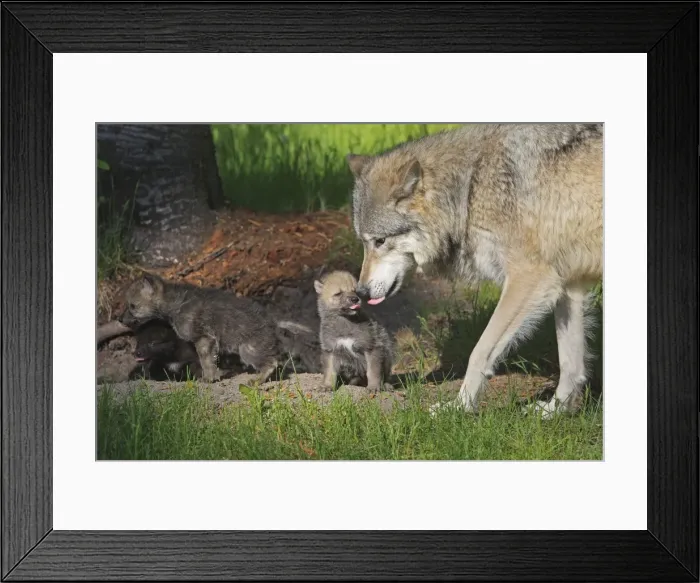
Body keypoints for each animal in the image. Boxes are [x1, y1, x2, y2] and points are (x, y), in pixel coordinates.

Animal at [119, 274, 281, 383]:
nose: (119, 319)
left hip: (248, 350)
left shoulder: (202, 338)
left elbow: (205, 361)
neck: (174, 304)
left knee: (271, 363)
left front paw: (208, 379)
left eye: (132, 306)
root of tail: (272, 327)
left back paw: (257, 380)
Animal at [346, 123, 603, 416]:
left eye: (380, 241)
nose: (361, 292)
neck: (469, 190)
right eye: (363, 242)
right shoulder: (569, 285)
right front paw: (555, 411)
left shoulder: (530, 279)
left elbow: (478, 352)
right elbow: (571, 364)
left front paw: (460, 407)